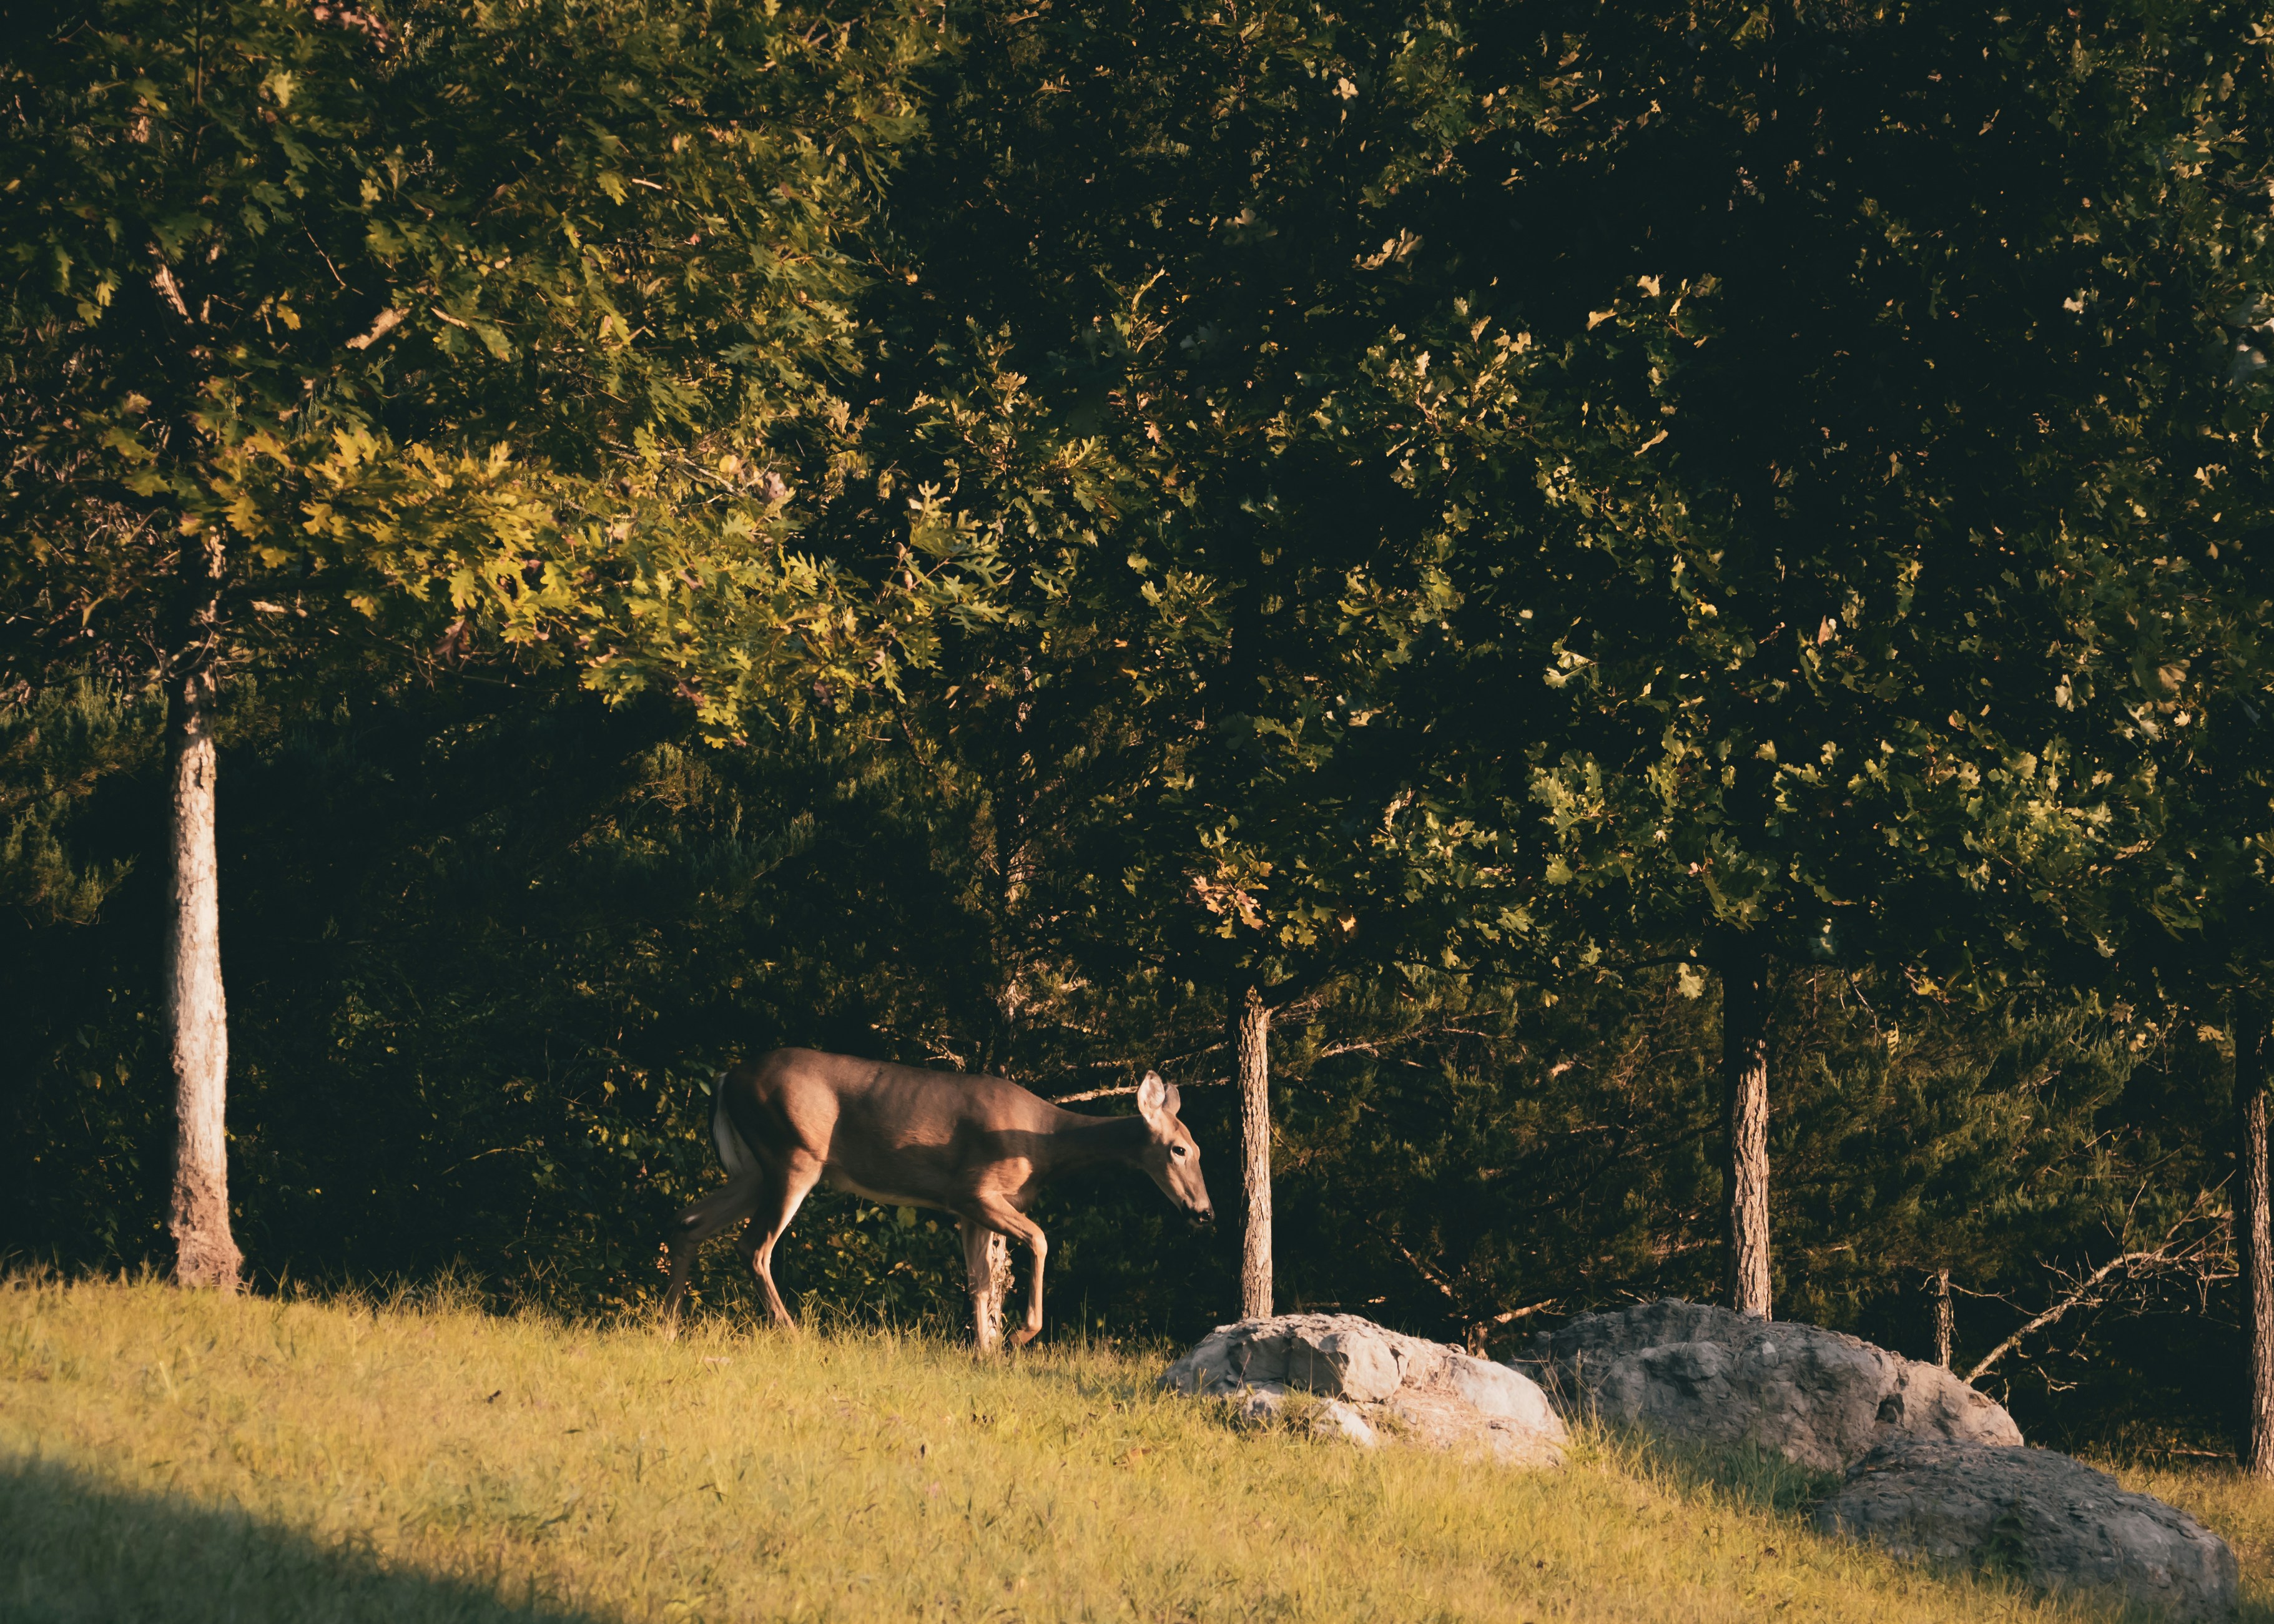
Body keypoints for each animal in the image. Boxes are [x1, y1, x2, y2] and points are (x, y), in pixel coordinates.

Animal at [659, 1048, 1214, 1350]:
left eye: (1199, 1147)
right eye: (1179, 1148)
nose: (1204, 1211)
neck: (1044, 1142)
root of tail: (726, 1078)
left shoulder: (968, 1209)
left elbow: (980, 1282)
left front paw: (985, 1353)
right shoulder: (974, 1188)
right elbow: (1038, 1239)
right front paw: (1018, 1336)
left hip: (756, 1169)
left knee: (688, 1219)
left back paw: (666, 1323)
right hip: (793, 1155)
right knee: (755, 1246)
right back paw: (791, 1332)